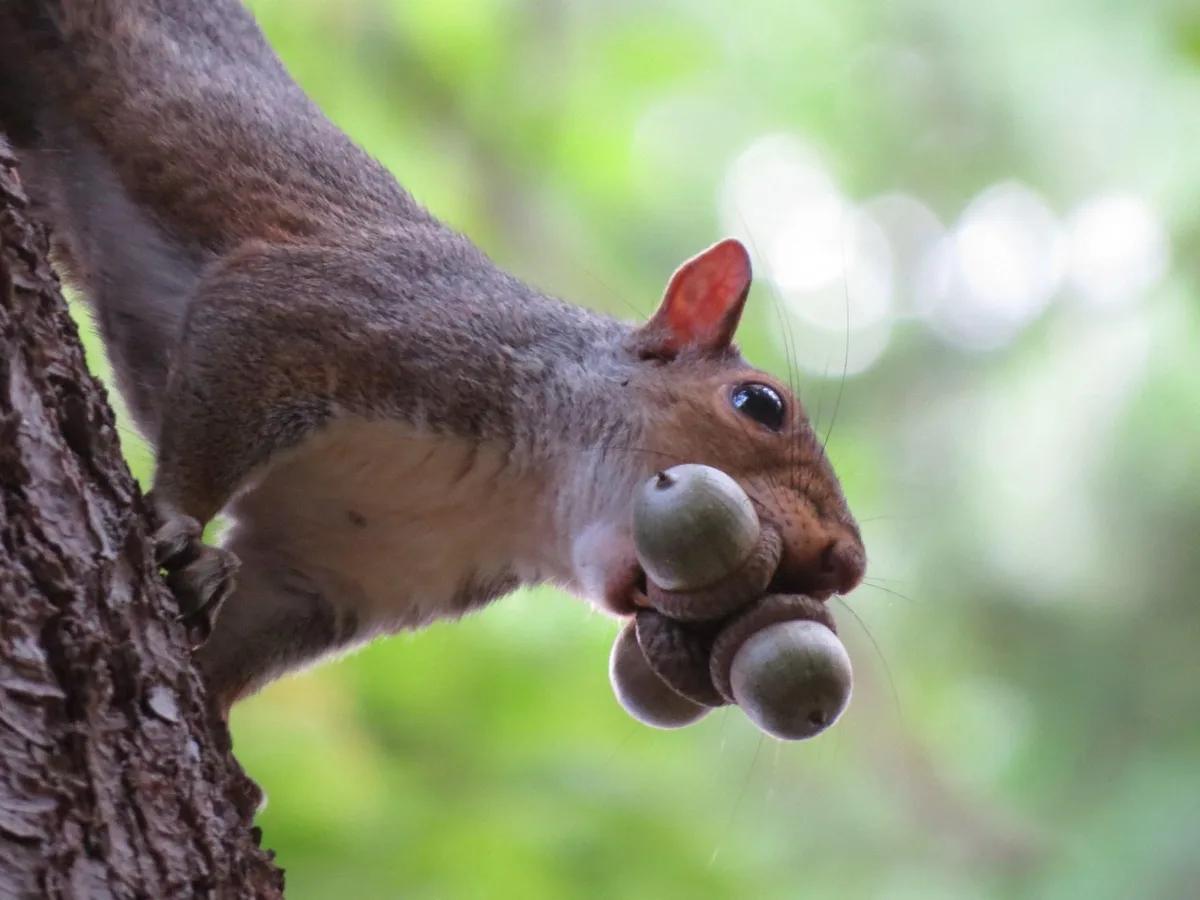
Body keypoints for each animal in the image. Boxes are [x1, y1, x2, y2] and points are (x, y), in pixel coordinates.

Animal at [0, 0, 866, 717]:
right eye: (759, 404)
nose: (846, 562)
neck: (511, 496)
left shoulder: (334, 570)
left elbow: (249, 630)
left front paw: (206, 629)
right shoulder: (354, 319)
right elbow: (243, 340)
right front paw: (178, 523)